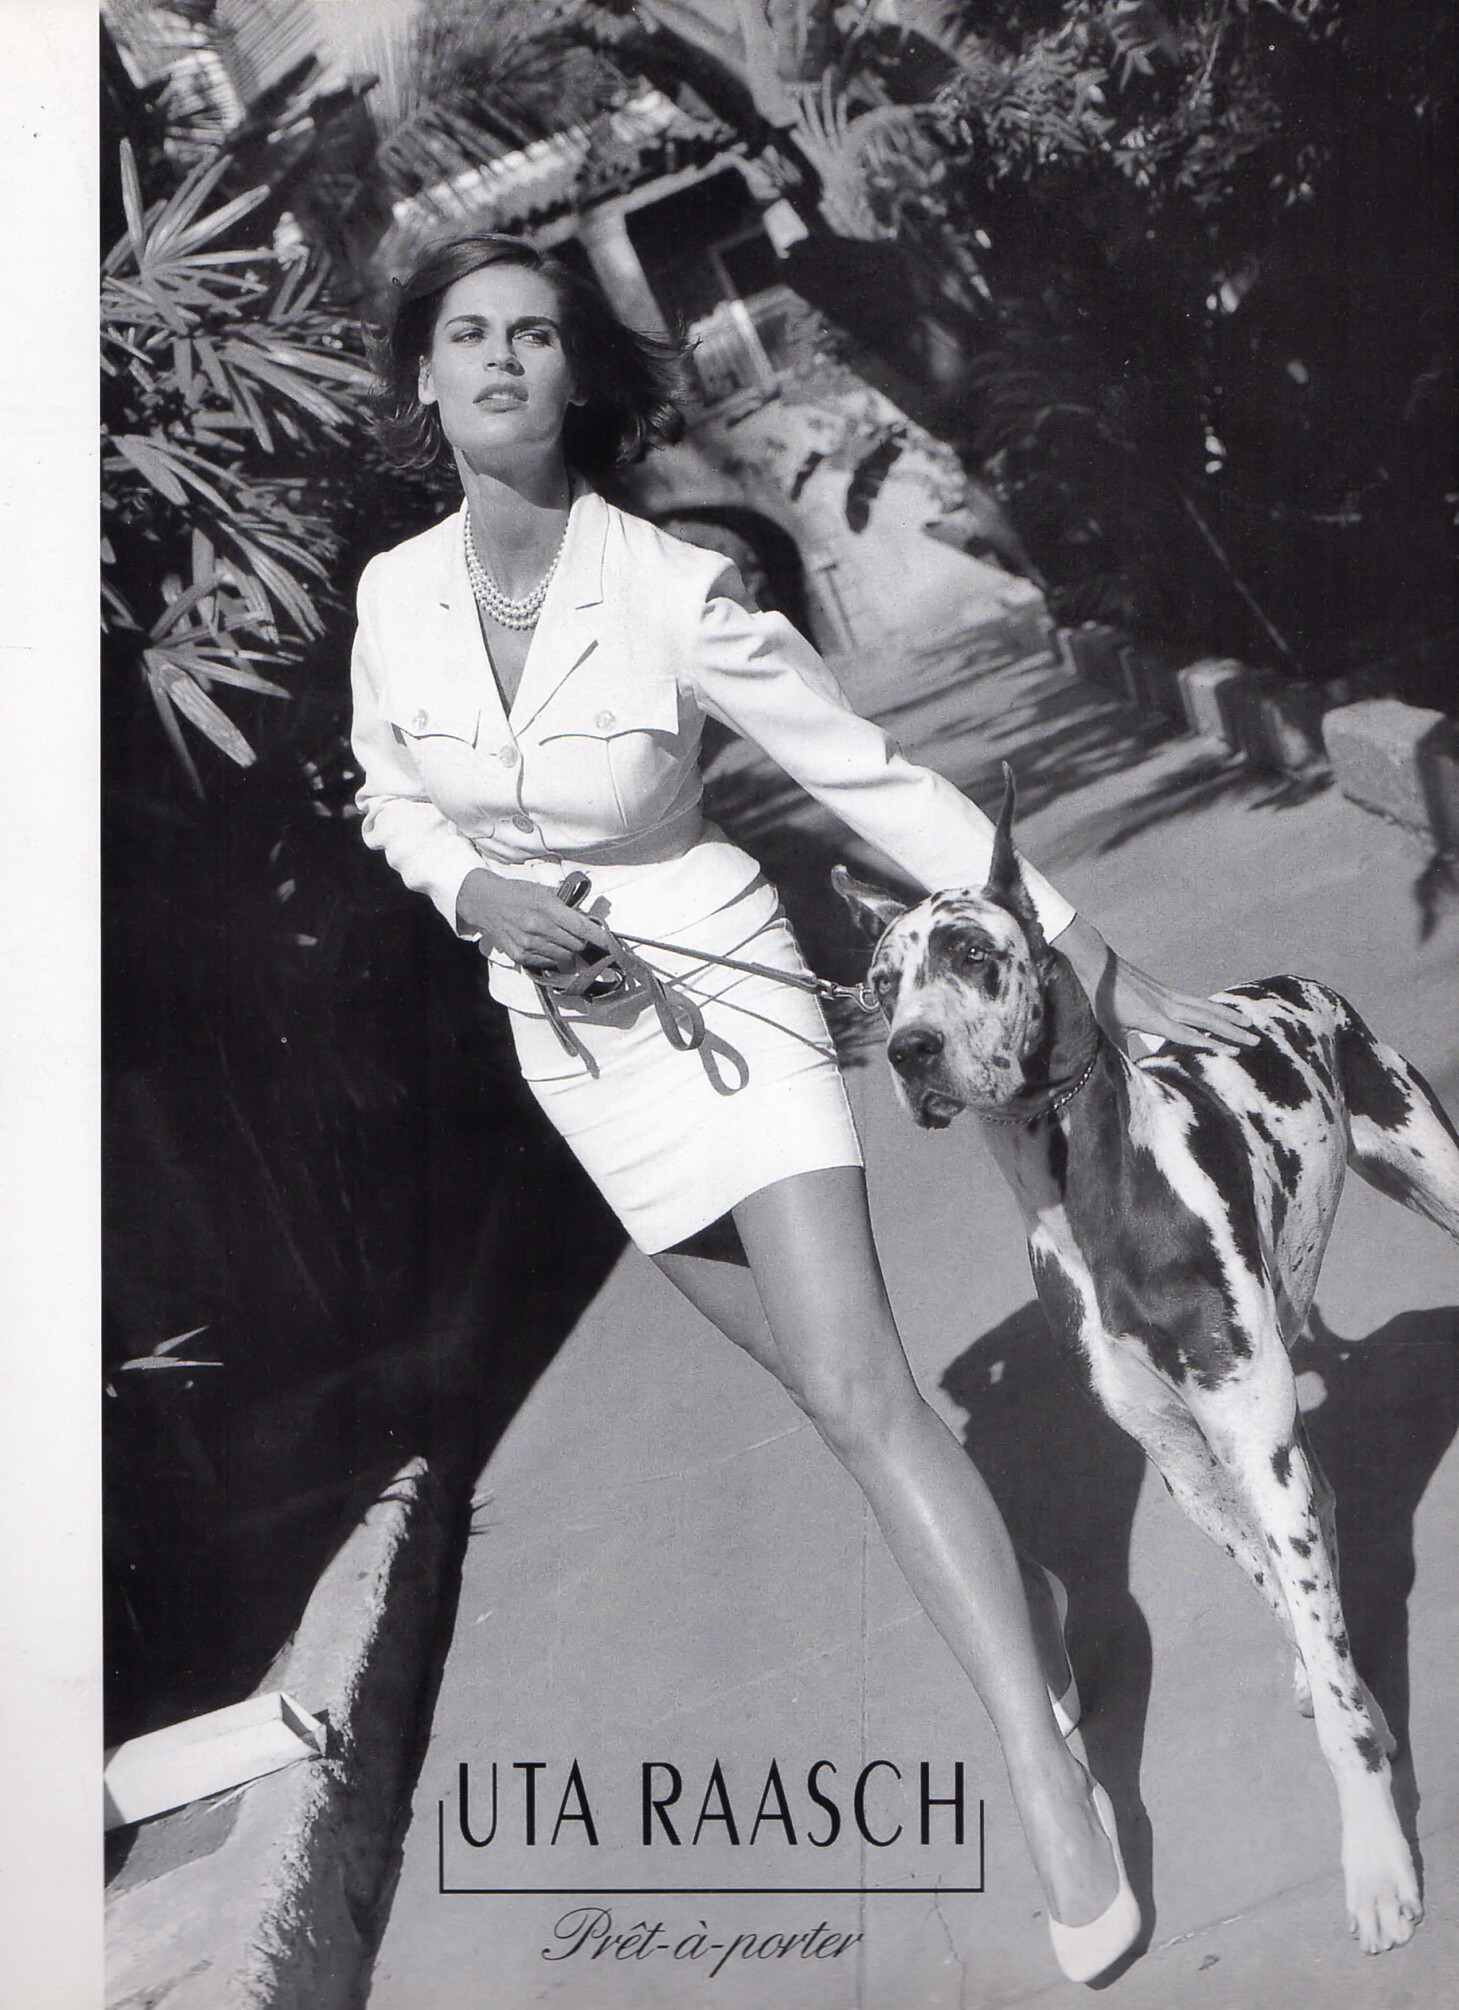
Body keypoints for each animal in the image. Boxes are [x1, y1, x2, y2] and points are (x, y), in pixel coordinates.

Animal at [834, 769, 1459, 1955]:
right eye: (881, 986)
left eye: (974, 955)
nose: (909, 1052)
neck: (1084, 1188)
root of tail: (1279, 984)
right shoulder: (1190, 1466)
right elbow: (1284, 1598)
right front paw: (1336, 1686)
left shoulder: (1250, 1437)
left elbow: (1327, 1671)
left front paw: (1373, 1859)